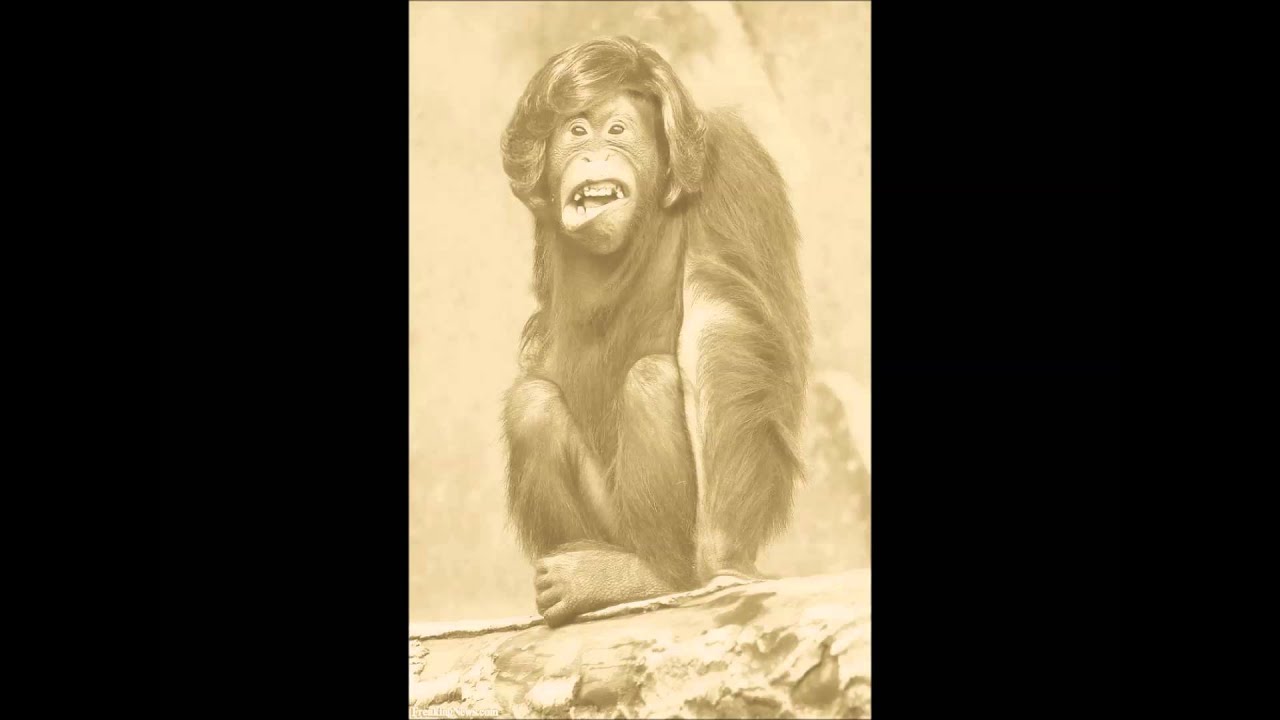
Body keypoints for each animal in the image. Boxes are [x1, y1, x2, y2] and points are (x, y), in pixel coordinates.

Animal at [500, 36, 810, 627]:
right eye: (577, 130)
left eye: (617, 129)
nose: (594, 152)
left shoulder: (729, 163)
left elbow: (717, 314)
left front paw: (724, 555)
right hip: (609, 520)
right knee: (533, 404)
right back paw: (589, 581)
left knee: (651, 379)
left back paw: (647, 577)